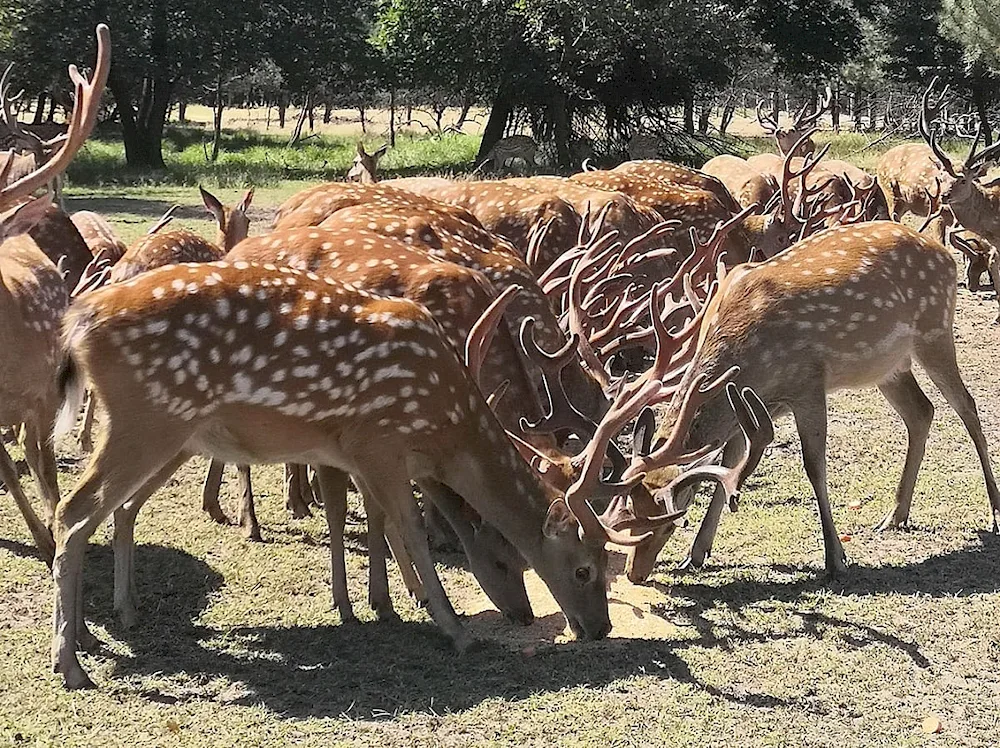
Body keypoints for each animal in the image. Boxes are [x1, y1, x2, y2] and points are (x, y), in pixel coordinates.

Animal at [640, 221, 1000, 572]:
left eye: (668, 523)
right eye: (629, 505)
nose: (637, 570)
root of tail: (946, 253)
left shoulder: (808, 384)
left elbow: (814, 466)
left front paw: (835, 557)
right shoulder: (749, 407)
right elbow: (730, 466)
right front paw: (696, 554)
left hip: (934, 329)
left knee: (967, 406)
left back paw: (994, 513)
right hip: (888, 366)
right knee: (921, 411)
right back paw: (895, 515)